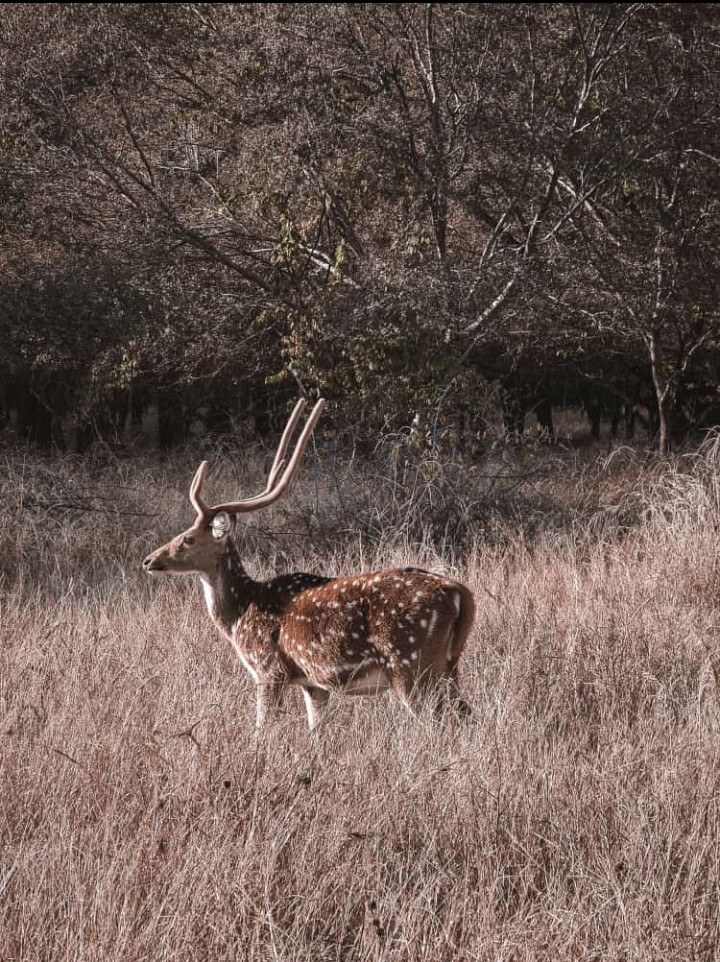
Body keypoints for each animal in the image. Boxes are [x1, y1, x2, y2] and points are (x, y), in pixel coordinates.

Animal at [142, 399, 475, 731]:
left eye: (188, 539)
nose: (149, 560)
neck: (241, 616)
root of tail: (459, 593)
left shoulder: (269, 670)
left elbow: (262, 729)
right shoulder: (313, 684)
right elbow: (315, 729)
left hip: (410, 661)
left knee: (438, 721)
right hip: (448, 664)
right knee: (466, 713)